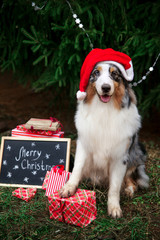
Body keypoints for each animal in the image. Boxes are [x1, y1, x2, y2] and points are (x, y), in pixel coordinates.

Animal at [59, 61, 149, 218]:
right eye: (96, 73)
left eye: (115, 74)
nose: (105, 87)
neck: (104, 109)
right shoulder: (83, 145)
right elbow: (77, 169)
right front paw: (68, 188)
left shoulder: (120, 156)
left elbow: (115, 186)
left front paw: (114, 207)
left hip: (135, 154)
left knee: (131, 179)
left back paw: (128, 190)